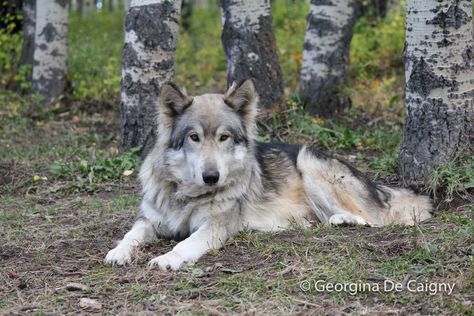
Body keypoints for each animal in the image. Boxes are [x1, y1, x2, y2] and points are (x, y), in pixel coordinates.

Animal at [104, 80, 434, 270]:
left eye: (224, 137)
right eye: (194, 138)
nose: (211, 177)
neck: (186, 194)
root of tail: (378, 186)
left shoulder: (215, 226)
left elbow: (185, 243)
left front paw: (167, 259)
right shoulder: (149, 220)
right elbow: (131, 234)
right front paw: (119, 252)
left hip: (310, 162)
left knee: (375, 220)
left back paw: (343, 220)